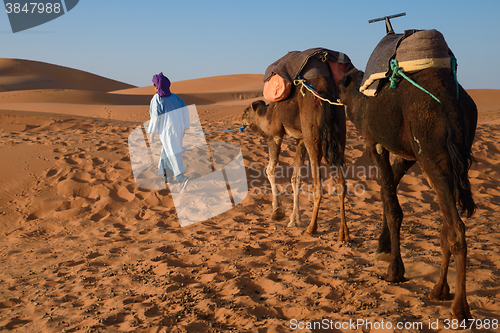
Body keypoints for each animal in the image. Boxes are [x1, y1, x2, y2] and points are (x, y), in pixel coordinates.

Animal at [241, 74, 350, 241]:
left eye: (247, 111)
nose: (241, 117)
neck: (267, 115)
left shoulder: (275, 135)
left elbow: (270, 170)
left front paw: (277, 211)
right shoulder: (301, 140)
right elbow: (295, 178)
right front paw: (295, 219)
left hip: (313, 136)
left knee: (318, 185)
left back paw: (311, 228)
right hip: (339, 133)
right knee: (341, 183)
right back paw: (344, 233)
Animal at [340, 67, 476, 320]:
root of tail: (451, 102)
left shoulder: (375, 144)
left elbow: (394, 208)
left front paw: (394, 271)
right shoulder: (407, 154)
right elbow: (388, 191)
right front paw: (382, 247)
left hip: (430, 152)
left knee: (455, 229)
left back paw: (460, 308)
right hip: (447, 159)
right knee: (446, 227)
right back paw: (439, 290)